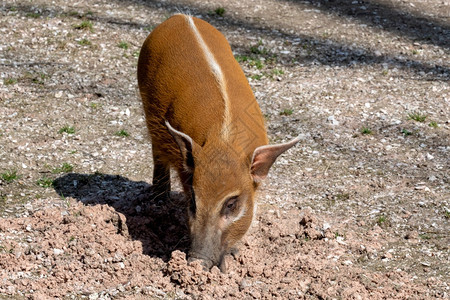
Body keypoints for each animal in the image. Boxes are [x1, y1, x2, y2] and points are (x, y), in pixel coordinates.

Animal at [137, 14, 298, 270]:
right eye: (193, 201)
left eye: (231, 204)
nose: (196, 262)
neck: (223, 142)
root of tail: (179, 17)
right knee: (157, 152)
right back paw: (159, 198)